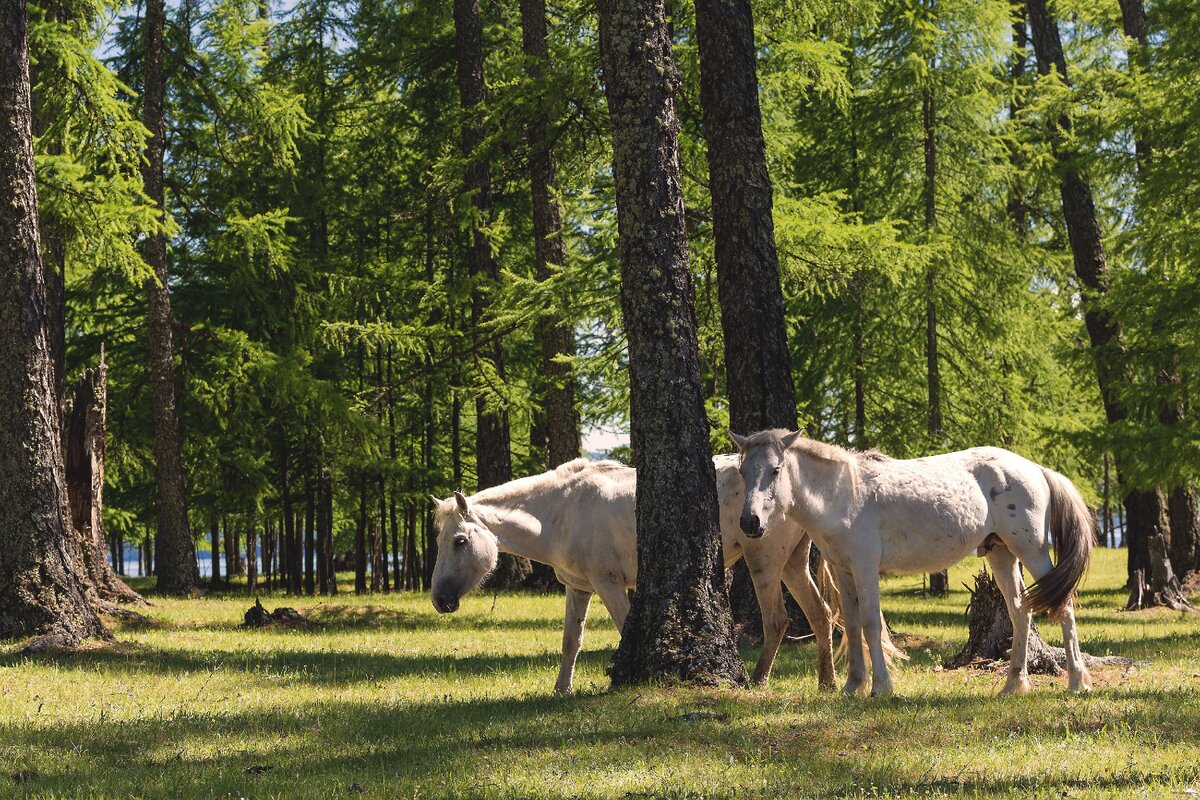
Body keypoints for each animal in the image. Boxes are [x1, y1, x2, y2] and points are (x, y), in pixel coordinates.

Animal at [429, 455, 835, 695]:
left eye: (460, 541)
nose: (439, 600)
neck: (563, 510)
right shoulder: (579, 589)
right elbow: (570, 642)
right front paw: (562, 690)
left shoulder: (609, 585)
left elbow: (625, 629)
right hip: (792, 564)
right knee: (821, 615)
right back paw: (826, 683)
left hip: (763, 561)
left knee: (777, 620)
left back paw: (758, 681)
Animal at [729, 429, 1099, 695]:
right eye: (743, 472)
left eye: (776, 469)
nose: (749, 523)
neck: (844, 494)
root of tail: (1036, 469)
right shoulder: (843, 571)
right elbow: (851, 624)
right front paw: (852, 686)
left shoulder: (865, 568)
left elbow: (870, 624)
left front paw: (880, 687)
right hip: (1001, 553)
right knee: (1020, 611)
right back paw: (1013, 685)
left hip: (1031, 549)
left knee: (1064, 608)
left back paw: (1077, 682)